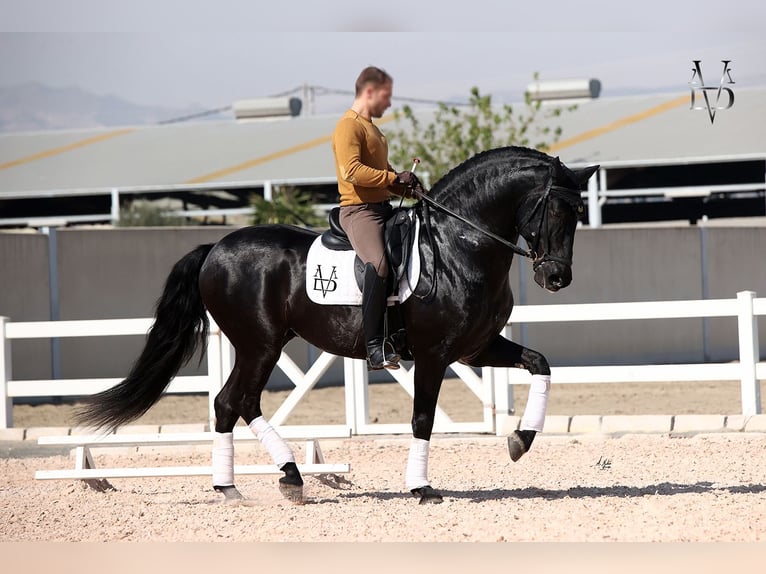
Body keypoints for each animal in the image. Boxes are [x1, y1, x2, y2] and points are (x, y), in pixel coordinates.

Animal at [79, 147, 600, 504]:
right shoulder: (434, 355)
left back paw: (243, 485)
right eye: (556, 209)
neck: (458, 246)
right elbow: (423, 418)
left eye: (579, 212)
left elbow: (540, 364)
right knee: (235, 402)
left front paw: (520, 440)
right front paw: (421, 487)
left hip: (262, 344)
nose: (557, 278)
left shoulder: (478, 347)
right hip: (259, 344)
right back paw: (282, 477)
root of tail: (216, 248)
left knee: (230, 405)